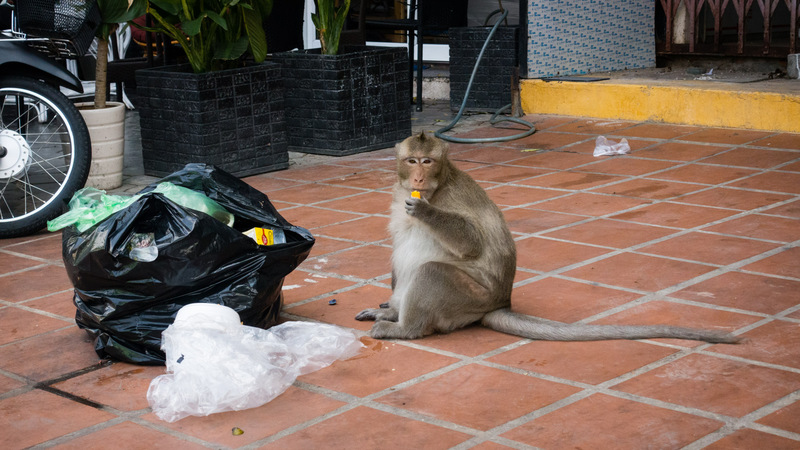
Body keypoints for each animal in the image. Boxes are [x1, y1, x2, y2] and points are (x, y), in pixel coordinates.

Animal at [354, 134, 740, 344]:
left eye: (428, 161)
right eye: (412, 161)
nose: (418, 178)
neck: (435, 186)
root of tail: (499, 302)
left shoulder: (450, 197)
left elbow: (471, 243)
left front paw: (426, 213)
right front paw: (388, 305)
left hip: (469, 299)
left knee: (432, 271)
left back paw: (406, 328)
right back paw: (393, 313)